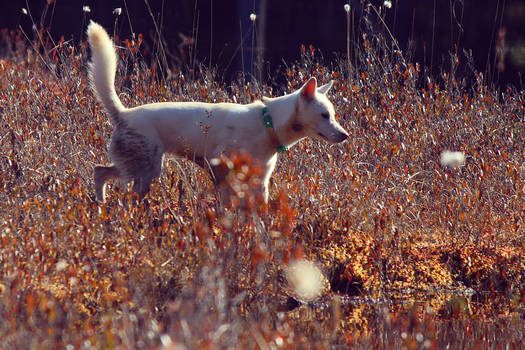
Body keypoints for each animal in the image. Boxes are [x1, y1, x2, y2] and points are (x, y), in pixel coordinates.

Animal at [86, 21, 348, 202]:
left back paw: (100, 205)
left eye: (333, 115)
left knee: (99, 172)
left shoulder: (260, 183)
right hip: (146, 171)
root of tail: (123, 113)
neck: (268, 124)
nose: (346, 135)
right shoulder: (220, 169)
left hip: (137, 168)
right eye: (324, 115)